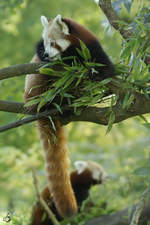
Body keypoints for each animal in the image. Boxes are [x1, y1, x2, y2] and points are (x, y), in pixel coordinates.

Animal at [24, 14, 113, 219]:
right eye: (45, 44)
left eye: (53, 43)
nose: (47, 55)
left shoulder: (93, 49)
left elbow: (105, 67)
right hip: (39, 90)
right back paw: (59, 103)